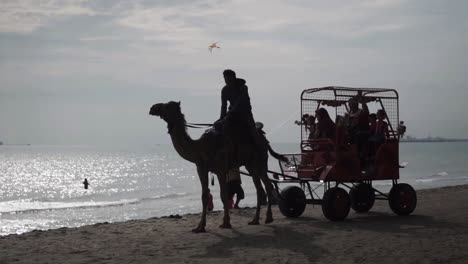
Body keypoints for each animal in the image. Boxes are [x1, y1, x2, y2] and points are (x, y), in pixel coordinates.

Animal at [149, 101, 286, 233]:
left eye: (166, 106)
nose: (152, 108)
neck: (199, 148)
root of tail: (264, 140)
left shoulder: (220, 169)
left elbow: (224, 195)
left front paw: (226, 223)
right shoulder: (201, 168)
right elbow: (205, 196)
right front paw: (200, 227)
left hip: (261, 161)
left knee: (268, 186)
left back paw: (268, 218)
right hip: (250, 165)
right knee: (259, 189)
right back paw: (255, 220)